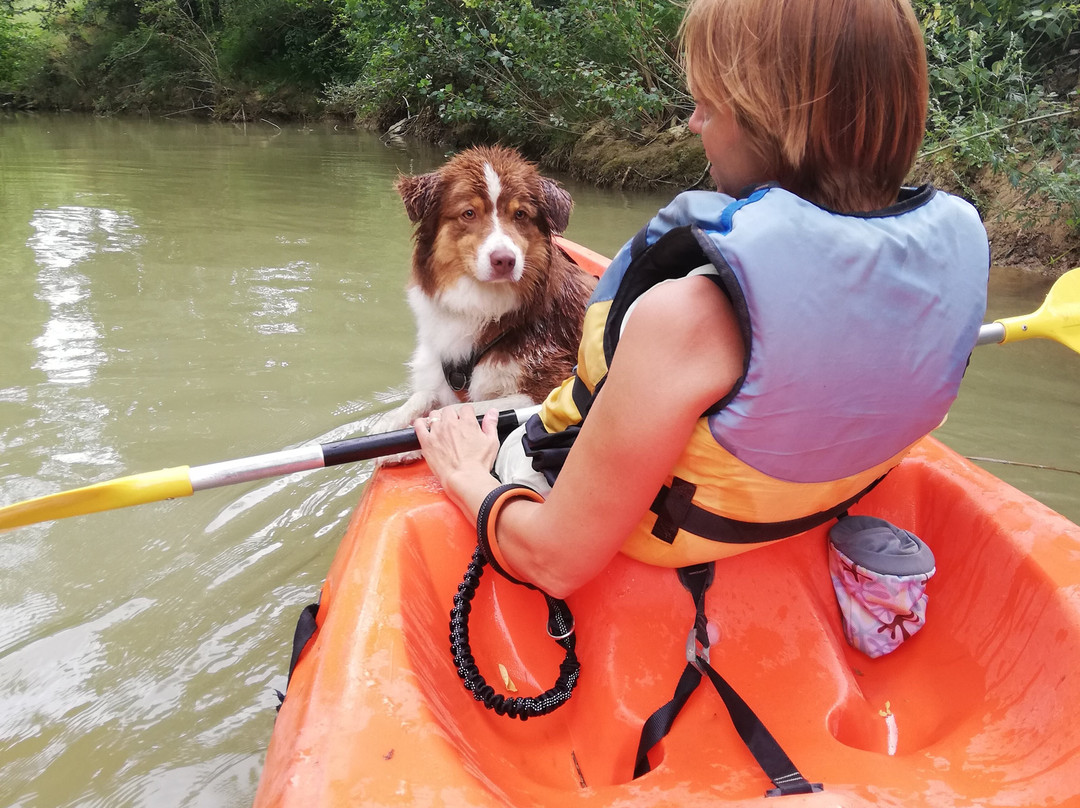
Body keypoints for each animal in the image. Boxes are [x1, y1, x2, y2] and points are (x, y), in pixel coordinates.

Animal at [378, 146, 600, 436]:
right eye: (469, 213)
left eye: (520, 214)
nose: (504, 260)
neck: (486, 305)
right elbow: (423, 395)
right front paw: (389, 421)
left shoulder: (554, 387)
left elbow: (465, 407)